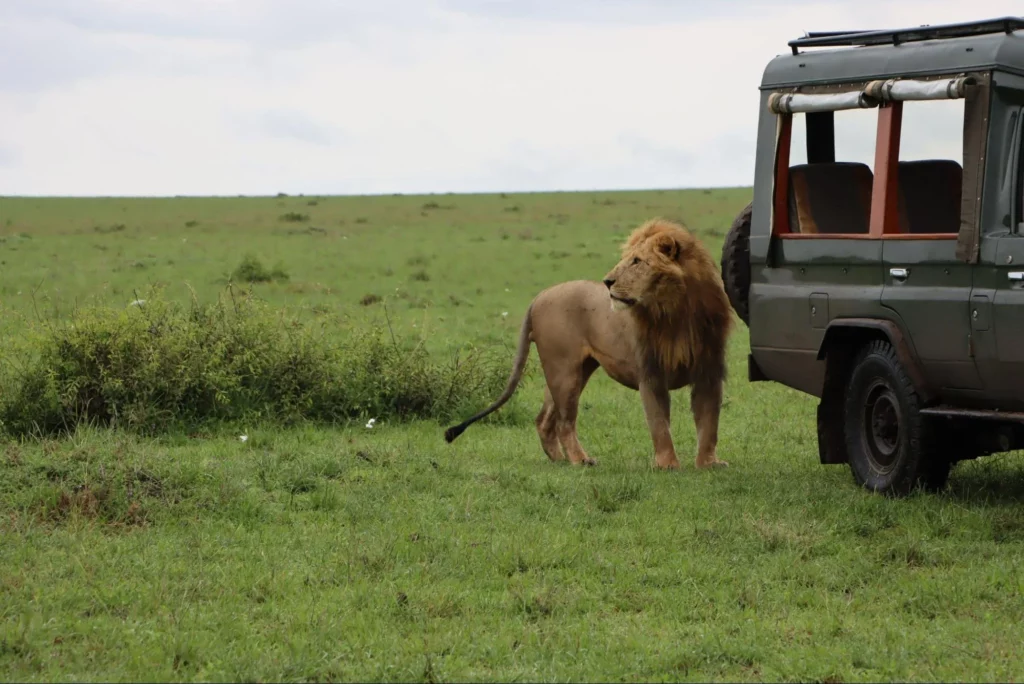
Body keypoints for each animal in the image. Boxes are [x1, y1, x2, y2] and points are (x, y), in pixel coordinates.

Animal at [444, 219, 733, 471]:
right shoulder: (650, 374)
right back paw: (580, 460)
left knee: (544, 419)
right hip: (564, 371)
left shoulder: (709, 372)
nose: (607, 282)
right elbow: (659, 424)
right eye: (627, 259)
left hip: (571, 371)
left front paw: (709, 463)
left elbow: (710, 422)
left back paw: (558, 459)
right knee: (564, 421)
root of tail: (539, 296)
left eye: (637, 261)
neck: (676, 312)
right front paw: (667, 465)